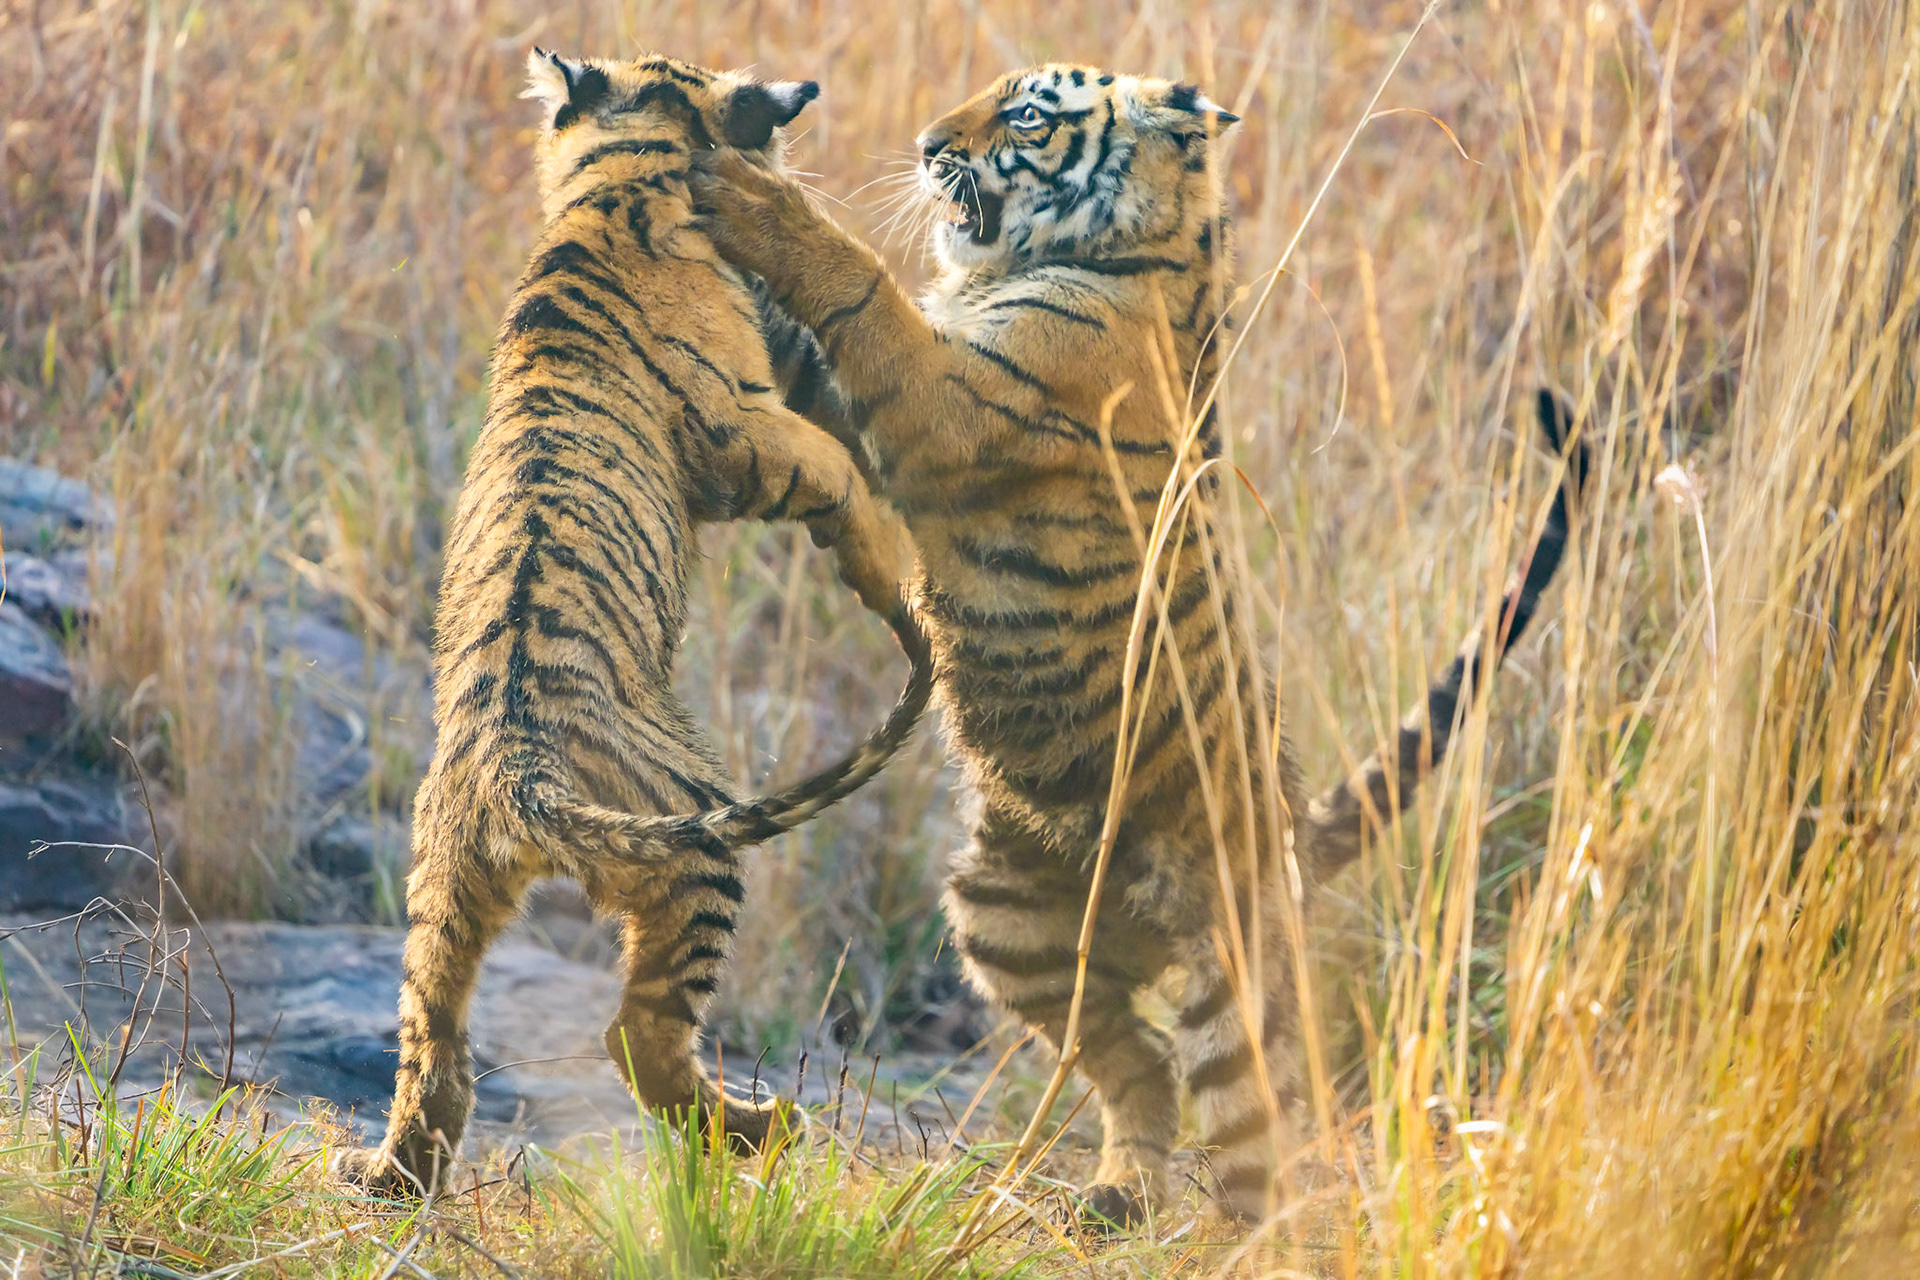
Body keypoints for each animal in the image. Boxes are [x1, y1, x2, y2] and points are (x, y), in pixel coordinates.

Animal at [332, 49, 933, 1198]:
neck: (618, 176)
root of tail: (518, 778)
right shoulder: (745, 430)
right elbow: (841, 476)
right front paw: (897, 574)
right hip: (696, 847)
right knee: (637, 1034)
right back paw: (761, 1125)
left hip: (440, 891)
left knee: (434, 1038)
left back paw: (394, 1173)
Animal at [691, 64, 1587, 1226]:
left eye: (1025, 115)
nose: (928, 142)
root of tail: (1291, 835)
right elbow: (802, 351)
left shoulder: (951, 400)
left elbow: (861, 288)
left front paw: (757, 198)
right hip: (1005, 918)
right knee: (1133, 1058)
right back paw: (1116, 1189)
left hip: (1224, 966)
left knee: (1249, 1125)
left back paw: (1243, 1233)